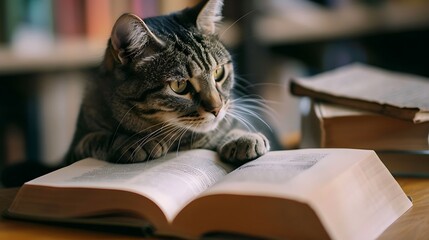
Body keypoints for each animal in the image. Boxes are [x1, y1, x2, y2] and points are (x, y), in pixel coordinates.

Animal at [64, 0, 270, 165]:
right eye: (179, 86)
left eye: (218, 73)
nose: (217, 109)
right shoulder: (73, 149)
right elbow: (94, 138)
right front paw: (133, 141)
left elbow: (227, 128)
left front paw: (242, 137)